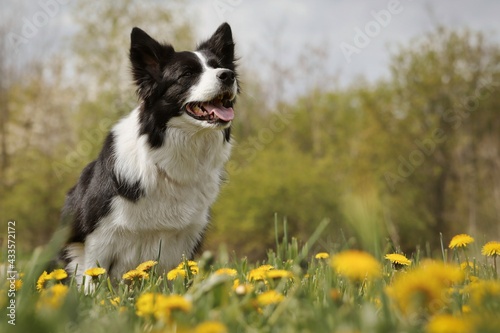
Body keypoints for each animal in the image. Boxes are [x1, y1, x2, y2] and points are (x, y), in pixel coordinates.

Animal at [60, 22, 240, 282]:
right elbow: (92, 279)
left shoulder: (184, 238)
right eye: (187, 74)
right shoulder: (98, 238)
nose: (228, 75)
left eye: (219, 67)